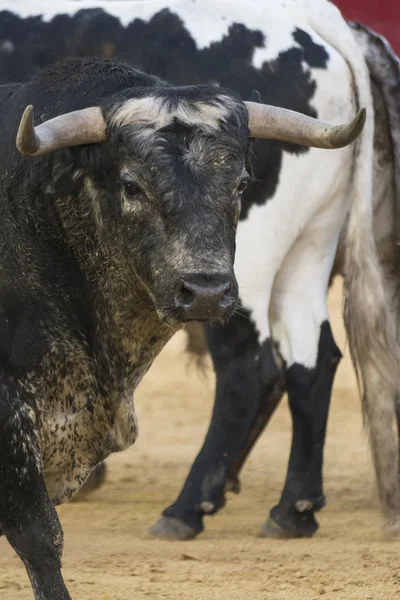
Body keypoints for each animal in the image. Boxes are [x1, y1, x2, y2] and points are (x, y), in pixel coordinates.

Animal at [0, 0, 398, 540]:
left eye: (241, 183)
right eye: (131, 185)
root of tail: (321, 20)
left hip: (248, 265)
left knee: (249, 367)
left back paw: (187, 507)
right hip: (306, 252)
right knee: (311, 359)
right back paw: (292, 509)